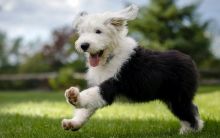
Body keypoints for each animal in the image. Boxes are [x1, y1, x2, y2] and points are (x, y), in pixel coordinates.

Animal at [61, 4, 204, 134]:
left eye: (98, 31)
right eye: (82, 32)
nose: (84, 45)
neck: (111, 57)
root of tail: (189, 59)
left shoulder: (113, 83)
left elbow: (91, 94)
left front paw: (74, 97)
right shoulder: (100, 83)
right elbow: (86, 109)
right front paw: (73, 123)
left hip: (178, 96)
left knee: (188, 112)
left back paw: (189, 131)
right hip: (173, 97)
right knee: (193, 108)